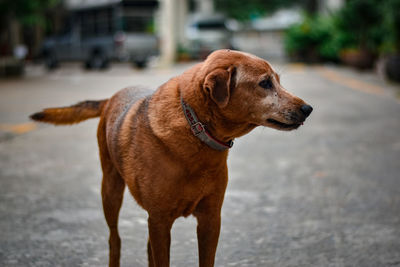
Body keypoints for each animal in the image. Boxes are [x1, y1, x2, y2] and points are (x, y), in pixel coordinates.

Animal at [30, 49, 312, 266]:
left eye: (277, 80)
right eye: (265, 83)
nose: (308, 109)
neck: (195, 128)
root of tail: (111, 97)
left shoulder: (210, 218)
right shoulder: (160, 219)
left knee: (146, 248)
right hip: (110, 190)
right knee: (114, 239)